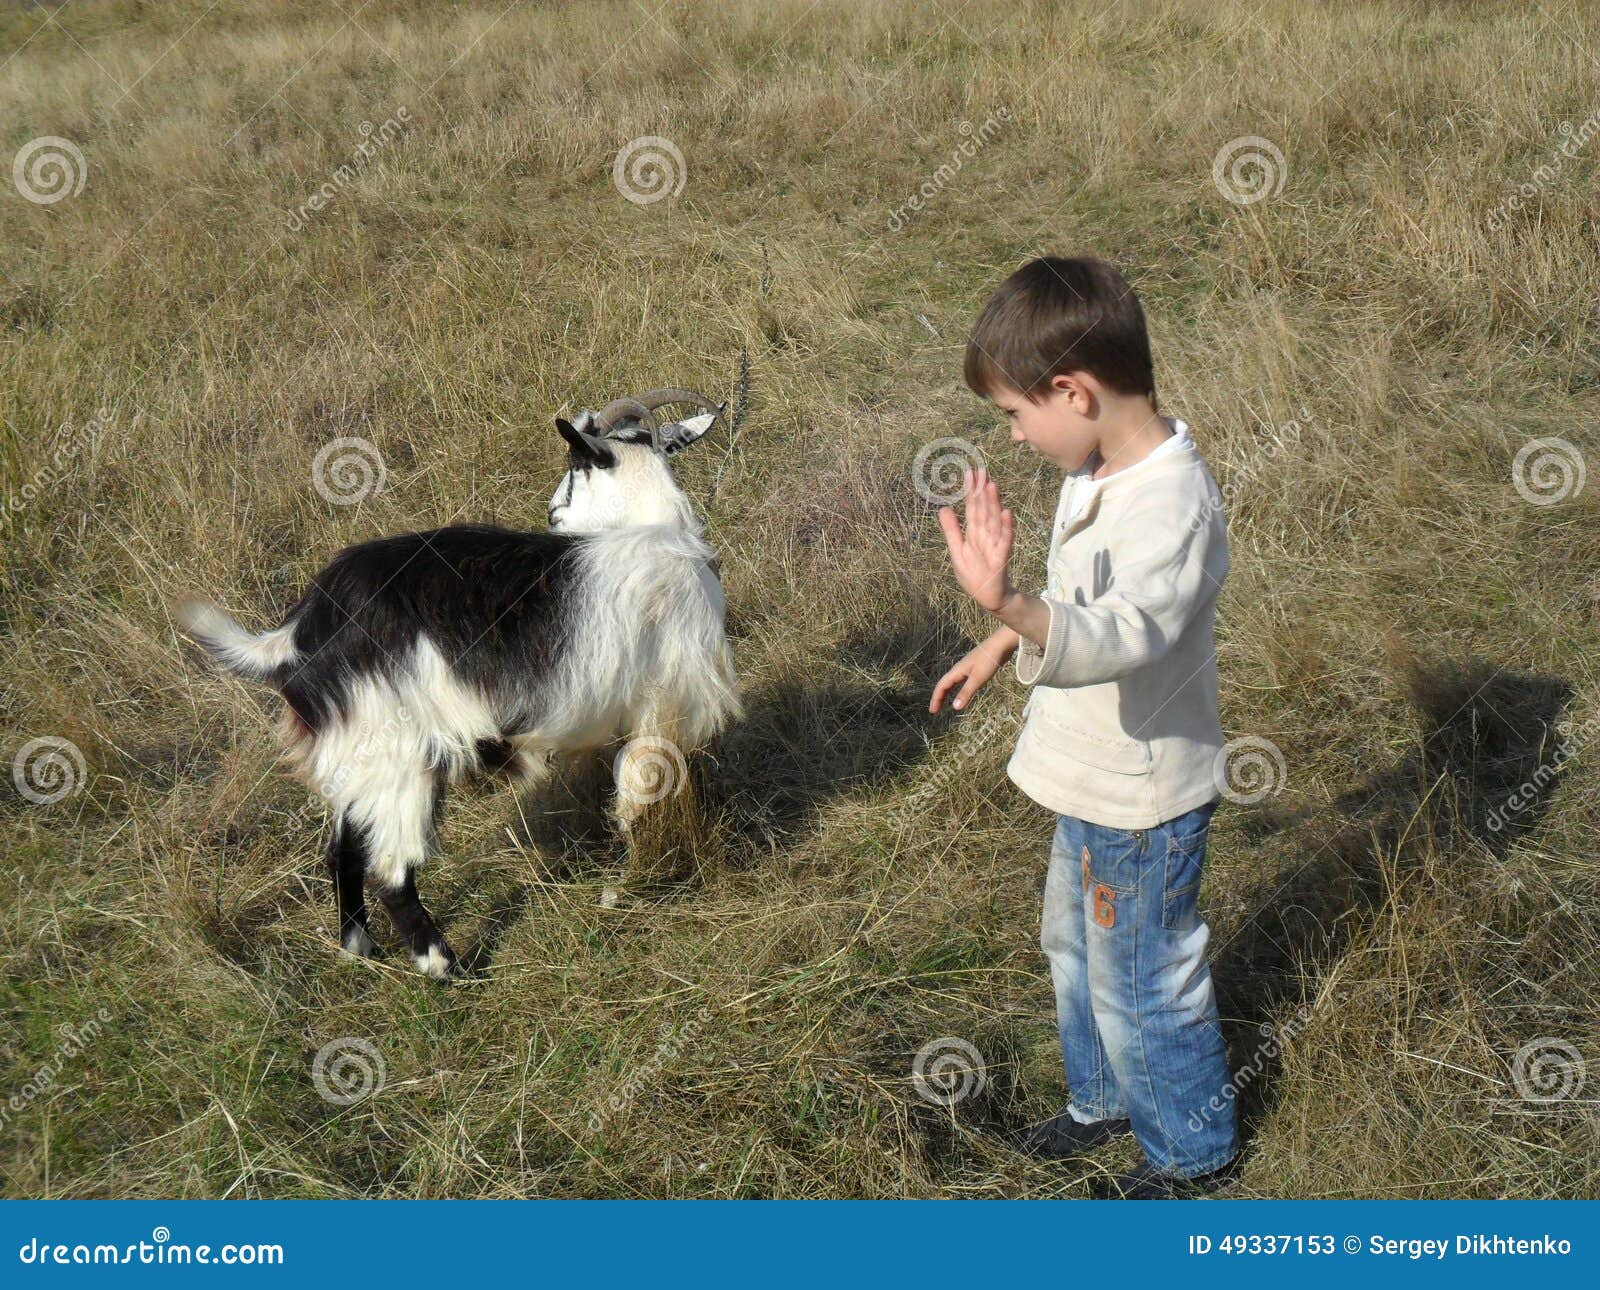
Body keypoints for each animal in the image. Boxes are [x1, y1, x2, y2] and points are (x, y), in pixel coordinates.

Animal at [178, 389, 742, 980]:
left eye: (573, 469)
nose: (552, 514)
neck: (659, 533)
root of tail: (300, 632)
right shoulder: (660, 708)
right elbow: (639, 801)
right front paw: (632, 887)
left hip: (358, 753)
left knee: (344, 851)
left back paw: (359, 946)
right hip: (396, 751)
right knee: (389, 870)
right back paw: (442, 964)